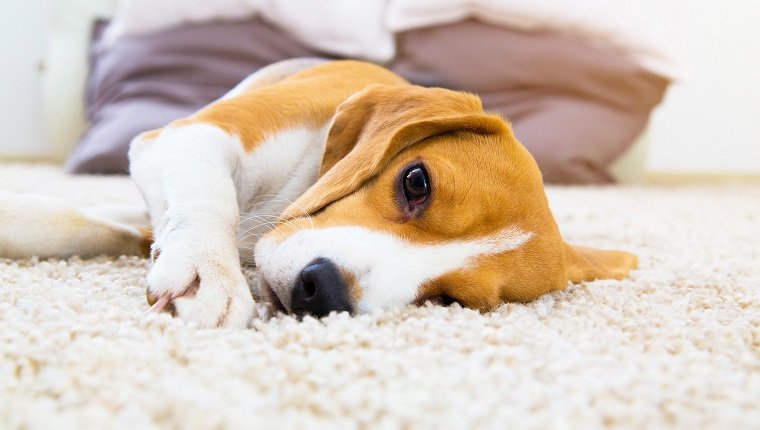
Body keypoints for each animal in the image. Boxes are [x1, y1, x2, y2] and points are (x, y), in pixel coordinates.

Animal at [0, 58, 636, 328]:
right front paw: (210, 272)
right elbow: (203, 202)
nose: (322, 290)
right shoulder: (187, 137)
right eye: (416, 182)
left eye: (451, 300)